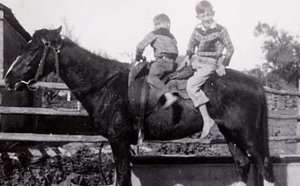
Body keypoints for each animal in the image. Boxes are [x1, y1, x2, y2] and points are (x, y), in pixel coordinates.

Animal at [4, 26, 274, 186]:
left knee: (264, 166)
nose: (8, 78)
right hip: (231, 134)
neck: (105, 83)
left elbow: (123, 178)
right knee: (243, 165)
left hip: (248, 136)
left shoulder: (118, 140)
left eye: (33, 49)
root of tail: (256, 83)